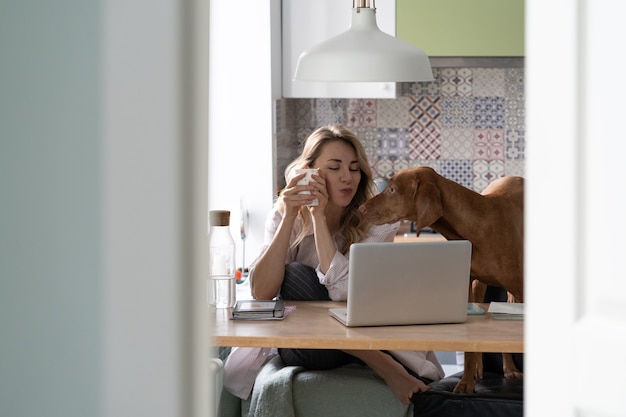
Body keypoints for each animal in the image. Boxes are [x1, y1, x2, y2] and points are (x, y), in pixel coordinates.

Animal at [356, 164, 520, 392]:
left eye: (392, 189)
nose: (360, 208)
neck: (481, 225)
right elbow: (469, 346)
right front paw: (466, 382)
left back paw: (511, 369)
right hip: (479, 286)